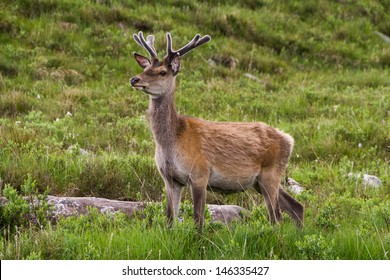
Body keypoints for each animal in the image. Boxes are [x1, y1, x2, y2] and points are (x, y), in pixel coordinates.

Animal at [129, 31, 304, 231]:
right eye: (146, 68)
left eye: (162, 72)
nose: (134, 79)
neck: (172, 141)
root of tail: (289, 139)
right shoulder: (170, 180)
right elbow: (170, 219)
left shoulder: (200, 173)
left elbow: (198, 220)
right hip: (259, 181)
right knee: (296, 206)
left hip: (271, 173)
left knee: (276, 217)